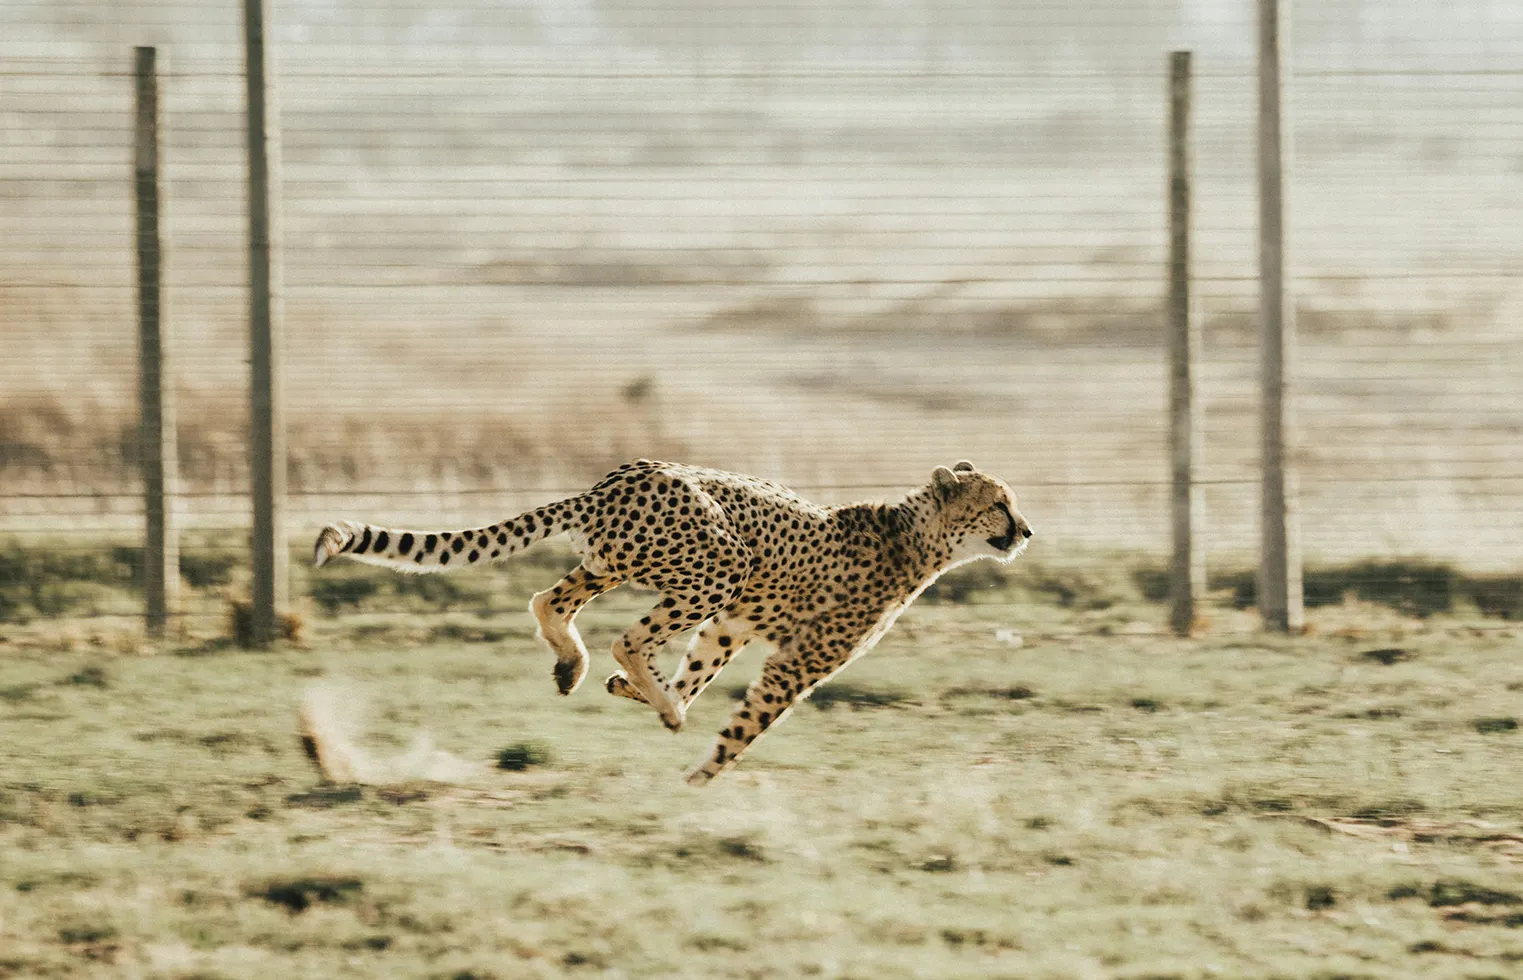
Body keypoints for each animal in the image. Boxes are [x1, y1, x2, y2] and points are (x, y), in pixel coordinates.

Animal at [312, 458, 1033, 785]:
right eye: (998, 504)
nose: (1026, 530)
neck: (916, 535)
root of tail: (617, 477)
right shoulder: (795, 660)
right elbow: (746, 725)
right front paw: (698, 779)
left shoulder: (733, 625)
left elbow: (701, 668)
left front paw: (646, 698)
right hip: (720, 562)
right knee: (626, 636)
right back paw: (650, 696)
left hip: (616, 563)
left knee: (551, 601)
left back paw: (579, 669)